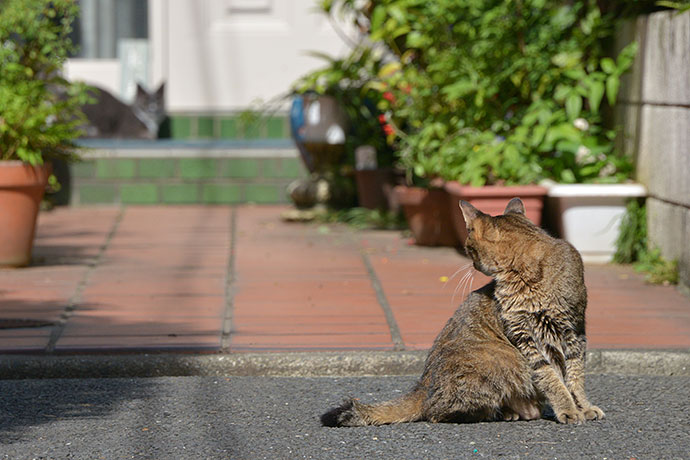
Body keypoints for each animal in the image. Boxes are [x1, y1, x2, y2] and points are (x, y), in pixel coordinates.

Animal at [322, 197, 600, 424]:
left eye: (469, 248)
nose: (472, 264)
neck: (526, 275)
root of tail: (422, 386)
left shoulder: (574, 329)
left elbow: (575, 376)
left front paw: (583, 407)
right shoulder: (524, 335)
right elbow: (550, 376)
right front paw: (568, 409)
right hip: (498, 359)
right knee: (435, 412)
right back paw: (497, 413)